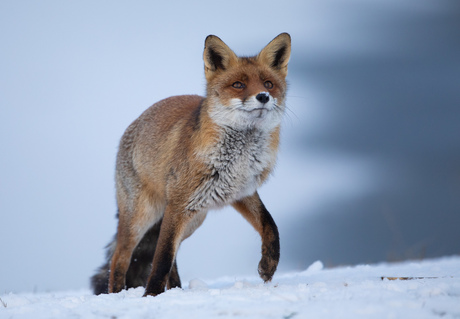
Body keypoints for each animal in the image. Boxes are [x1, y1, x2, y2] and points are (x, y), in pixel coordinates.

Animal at [90, 32, 292, 298]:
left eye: (268, 84)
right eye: (238, 84)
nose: (263, 97)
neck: (238, 157)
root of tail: (133, 124)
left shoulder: (241, 192)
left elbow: (271, 225)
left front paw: (268, 265)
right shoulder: (179, 203)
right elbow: (161, 260)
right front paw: (150, 297)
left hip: (193, 218)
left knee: (170, 256)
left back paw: (176, 290)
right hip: (143, 216)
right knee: (120, 258)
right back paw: (117, 296)